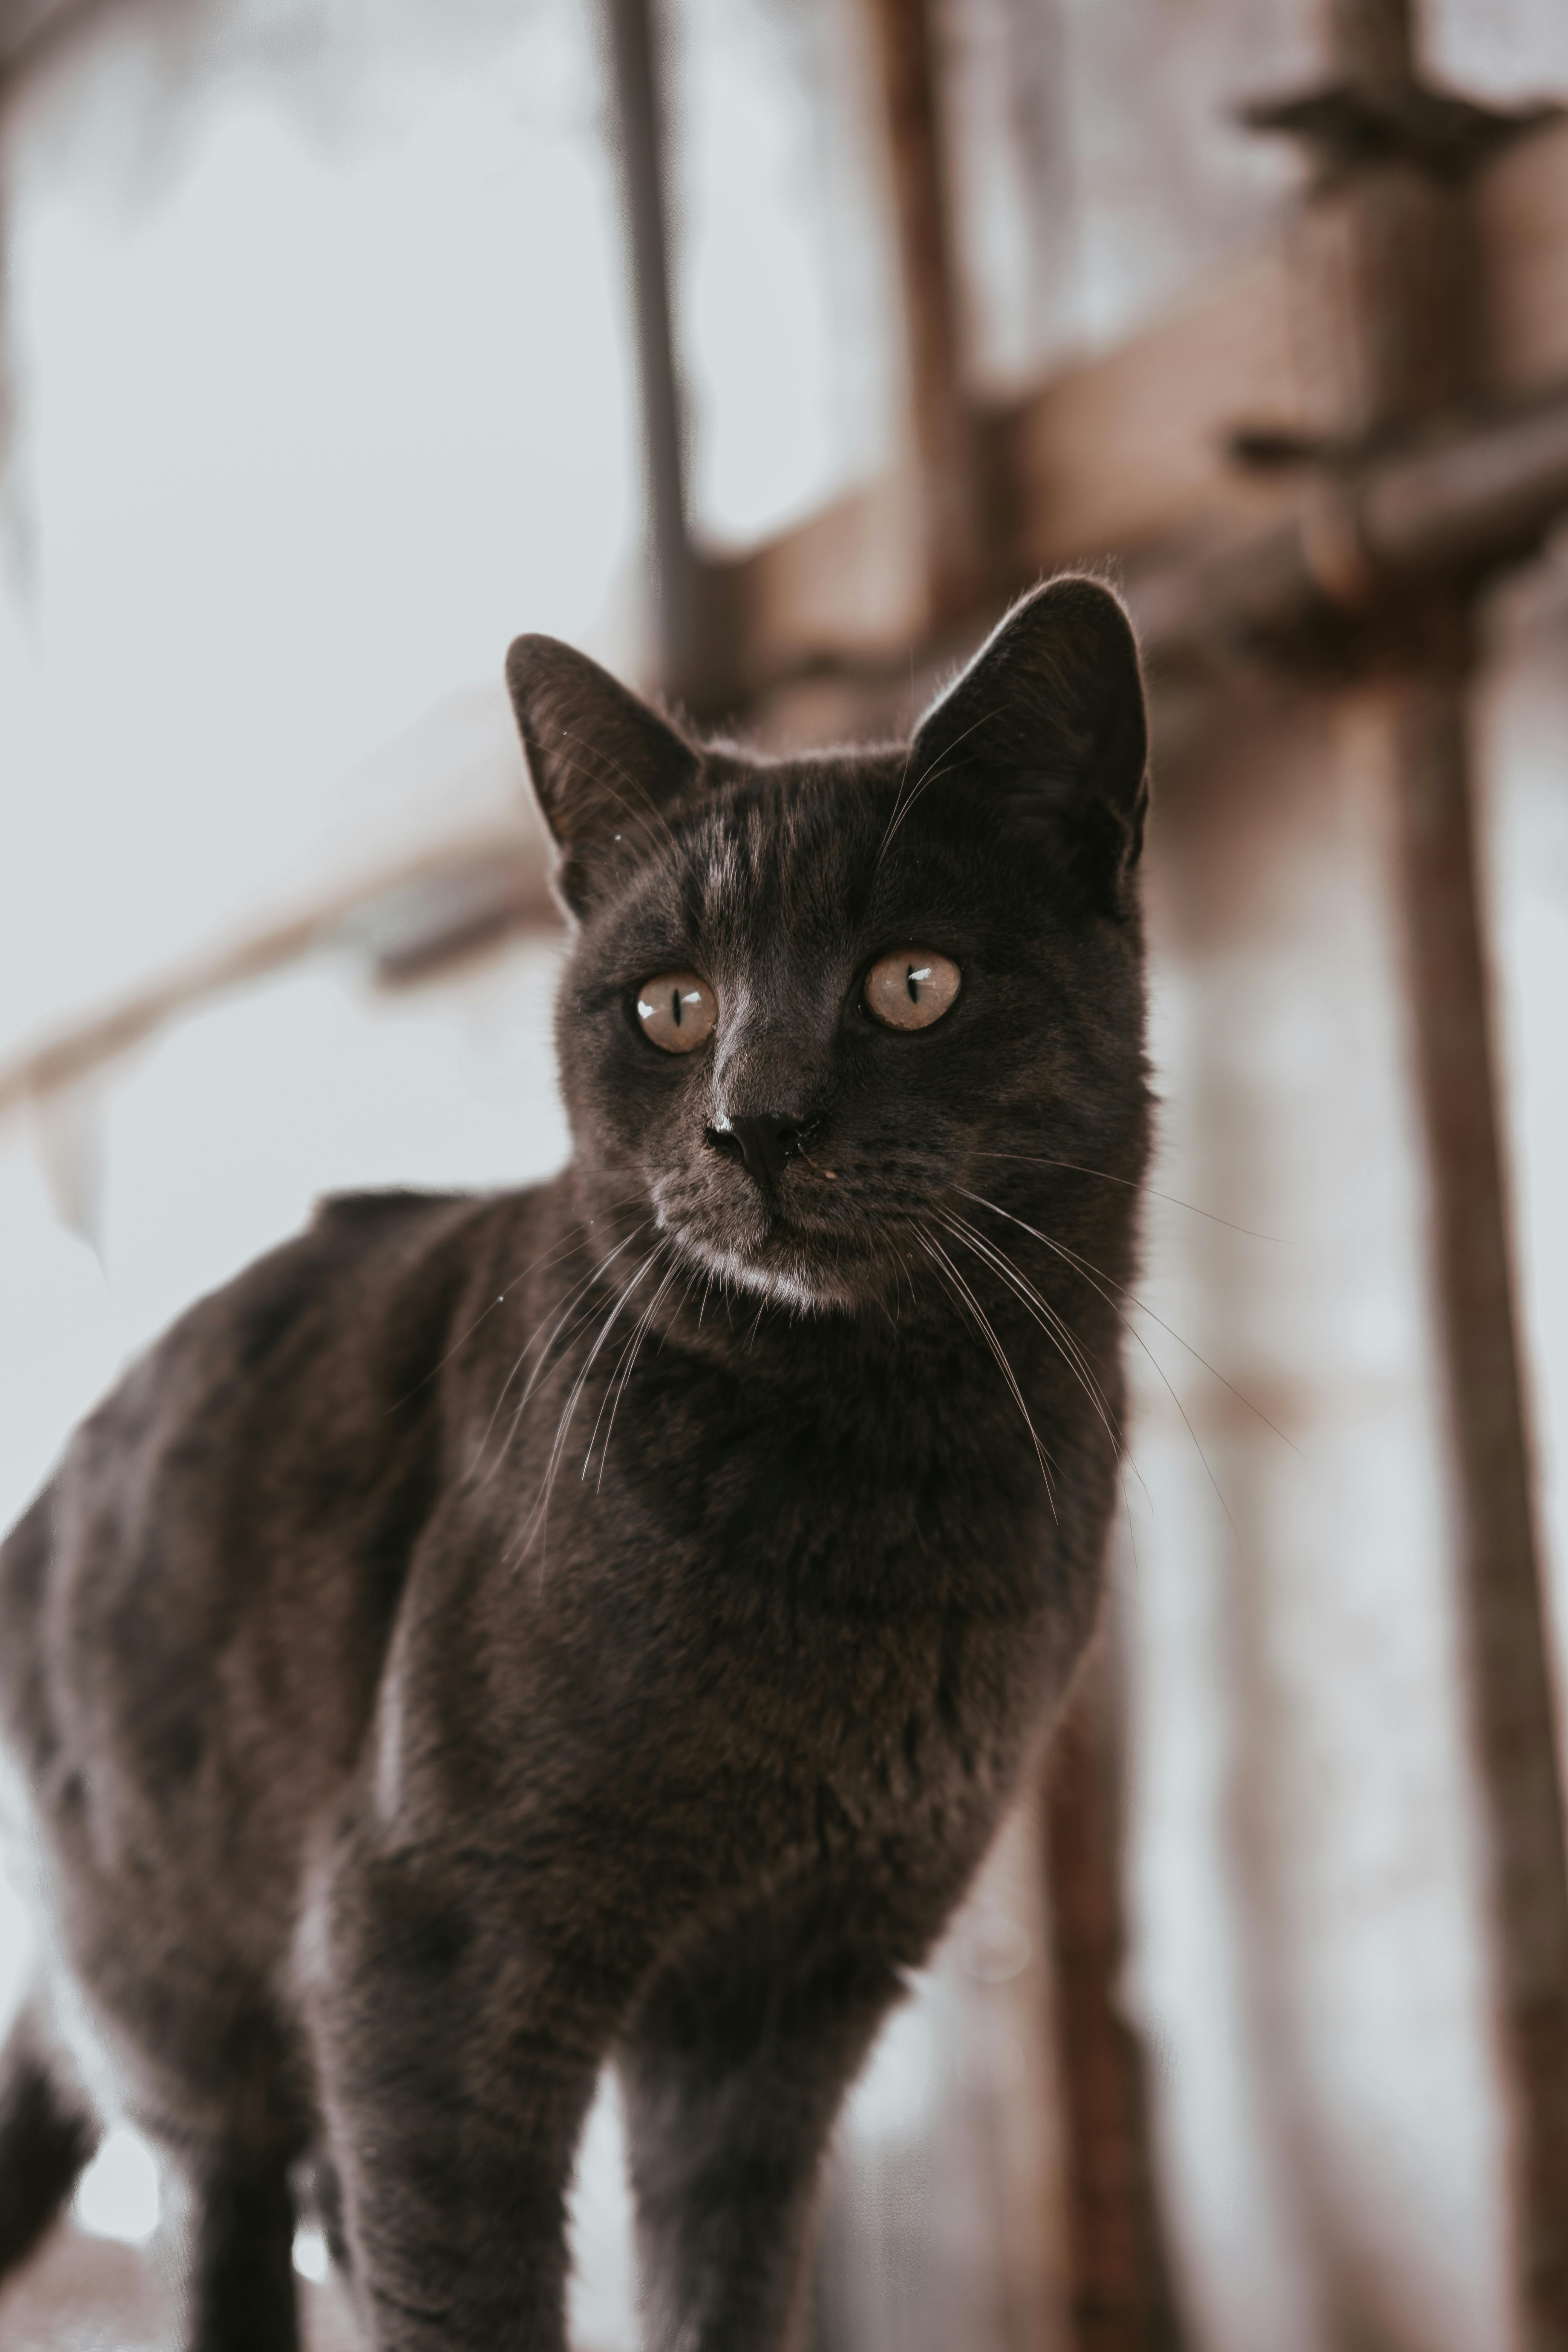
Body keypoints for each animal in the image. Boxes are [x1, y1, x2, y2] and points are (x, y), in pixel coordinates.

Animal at [0, 574, 1152, 2352]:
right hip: (181, 2008)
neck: (878, 1483)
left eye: (914, 982)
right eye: (672, 1008)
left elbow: (723, 2284)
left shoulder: (783, 2008)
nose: (759, 1121)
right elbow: (468, 2289)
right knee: (225, 2214)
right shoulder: (425, 1948)